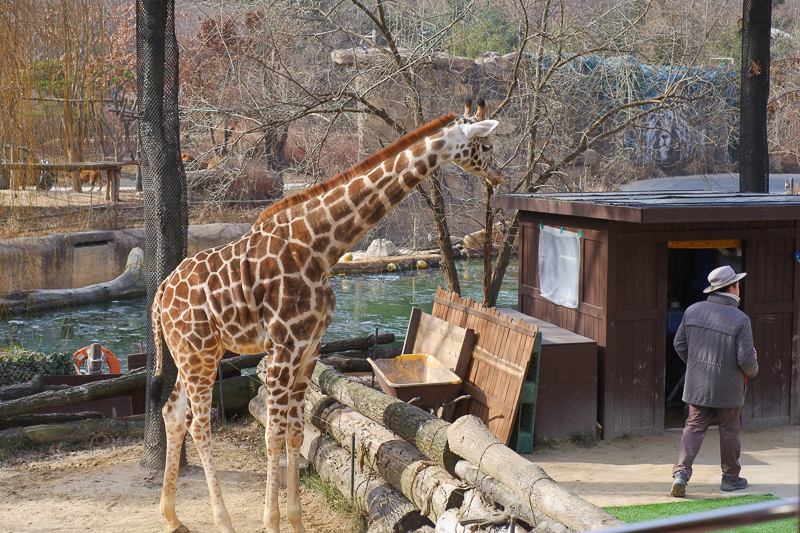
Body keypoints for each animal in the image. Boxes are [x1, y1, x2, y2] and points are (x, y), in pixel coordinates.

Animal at [149, 98, 500, 532]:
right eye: (486, 146)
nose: (500, 175)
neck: (321, 245)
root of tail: (160, 295)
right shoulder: (283, 347)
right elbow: (273, 433)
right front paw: (271, 523)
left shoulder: (309, 348)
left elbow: (297, 433)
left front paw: (295, 522)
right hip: (197, 354)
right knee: (199, 423)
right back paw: (222, 520)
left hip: (196, 353)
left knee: (173, 411)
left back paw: (172, 517)